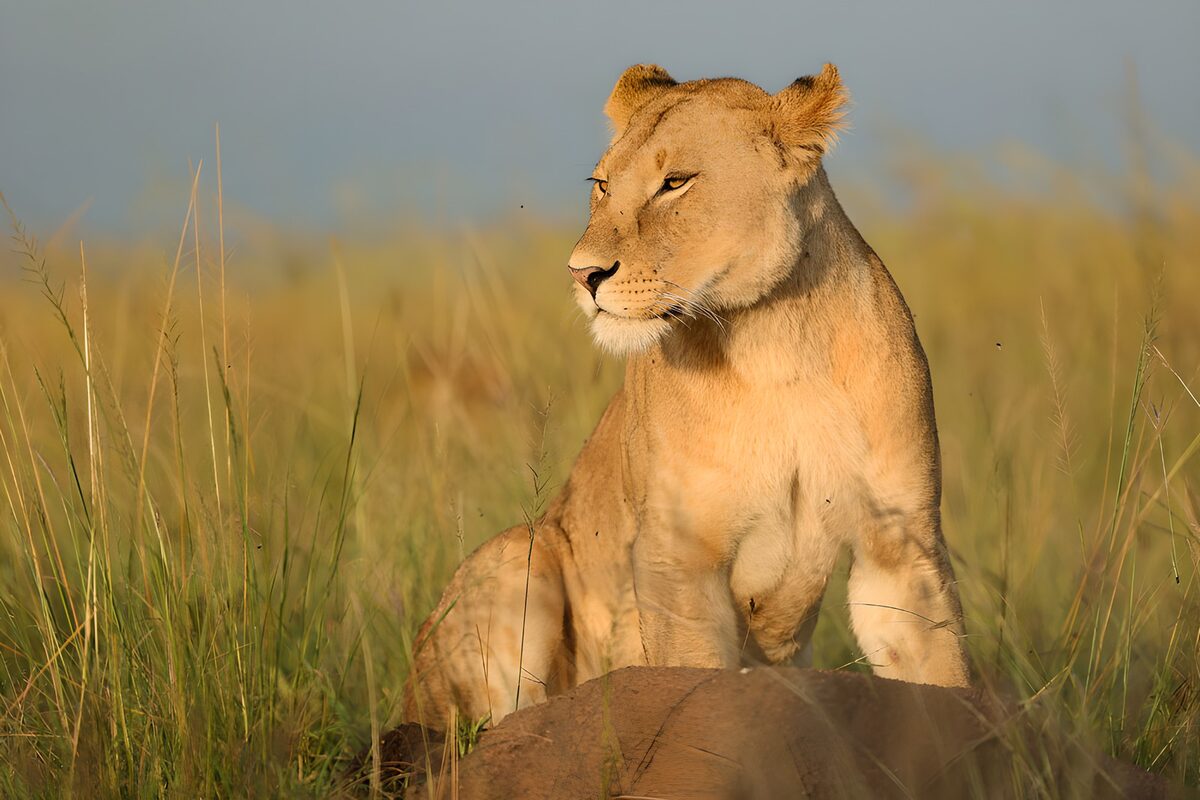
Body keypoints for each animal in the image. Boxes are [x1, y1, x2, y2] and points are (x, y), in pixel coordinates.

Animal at [402, 63, 971, 729]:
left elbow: (944, 681)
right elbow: (699, 687)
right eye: (602, 184)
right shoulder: (677, 557)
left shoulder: (900, 545)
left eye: (674, 183)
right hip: (514, 555)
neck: (775, 343)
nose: (582, 274)